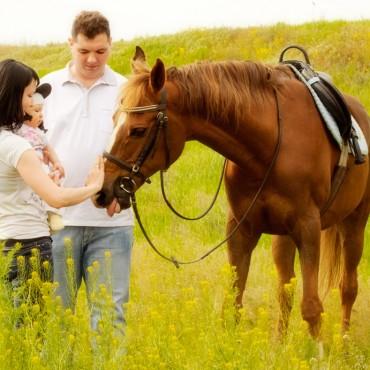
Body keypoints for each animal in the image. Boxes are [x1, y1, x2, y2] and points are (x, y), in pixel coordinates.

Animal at [96, 47, 370, 338]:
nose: (104, 190)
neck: (271, 144)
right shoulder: (241, 229)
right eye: (113, 120)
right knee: (285, 290)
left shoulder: (308, 229)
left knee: (348, 288)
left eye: (138, 130)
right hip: (283, 237)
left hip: (354, 224)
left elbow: (312, 308)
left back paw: (343, 341)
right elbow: (234, 303)